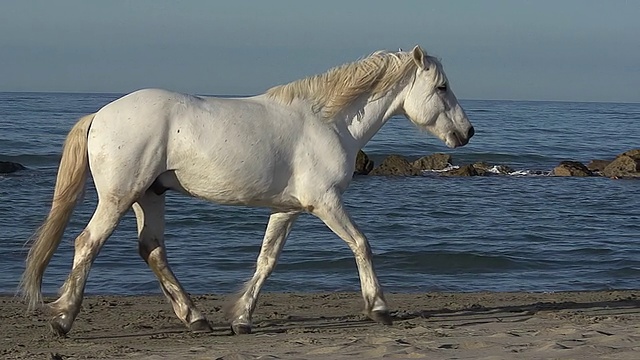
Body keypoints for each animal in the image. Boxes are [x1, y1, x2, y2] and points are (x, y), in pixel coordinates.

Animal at [21, 46, 470, 336]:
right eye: (442, 87)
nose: (466, 133)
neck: (328, 122)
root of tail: (100, 115)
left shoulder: (288, 209)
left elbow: (266, 261)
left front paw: (242, 319)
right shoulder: (325, 202)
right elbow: (361, 244)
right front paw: (378, 308)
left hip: (150, 196)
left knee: (151, 250)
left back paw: (197, 318)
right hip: (119, 197)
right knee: (87, 242)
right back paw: (63, 320)